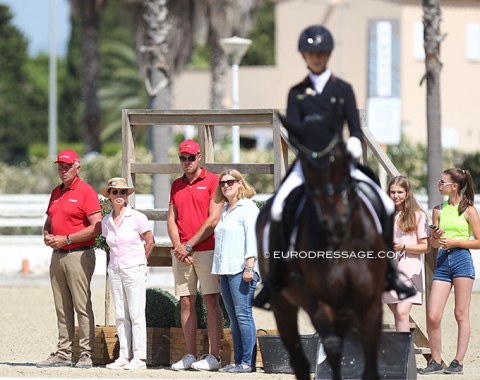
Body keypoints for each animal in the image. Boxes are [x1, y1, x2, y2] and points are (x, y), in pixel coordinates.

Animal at [256, 110, 388, 380]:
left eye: (338, 159)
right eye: (306, 164)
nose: (335, 219)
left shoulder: (369, 305)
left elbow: (369, 363)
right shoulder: (320, 306)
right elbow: (333, 351)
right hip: (283, 305)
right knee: (299, 359)